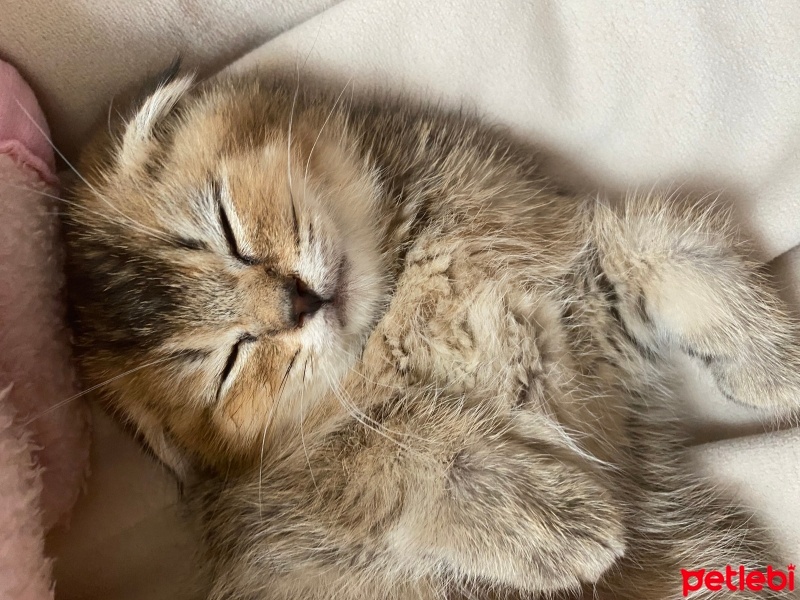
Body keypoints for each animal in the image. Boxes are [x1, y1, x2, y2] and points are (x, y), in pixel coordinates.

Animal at [62, 67, 800, 600]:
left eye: (225, 229)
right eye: (228, 364)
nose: (297, 302)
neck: (398, 295)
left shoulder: (584, 276)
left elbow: (674, 252)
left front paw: (777, 363)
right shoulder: (299, 484)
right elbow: (419, 449)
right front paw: (557, 521)